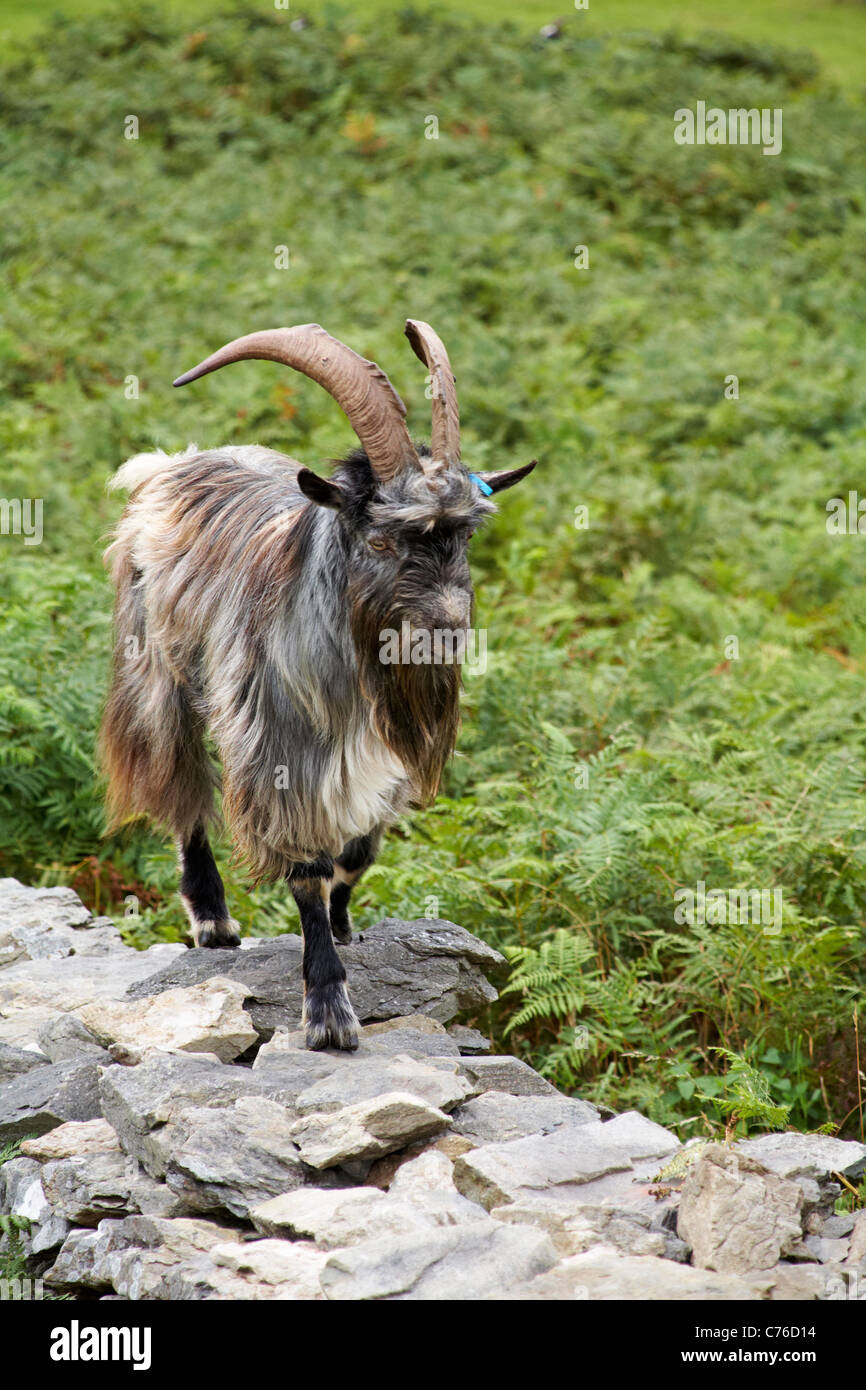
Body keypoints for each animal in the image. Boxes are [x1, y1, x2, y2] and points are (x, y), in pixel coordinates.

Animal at [100, 321, 535, 1049]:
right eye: (384, 540)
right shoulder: (278, 747)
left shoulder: (384, 757)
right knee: (181, 786)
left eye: (465, 536)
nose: (449, 630)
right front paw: (329, 1010)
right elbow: (306, 869)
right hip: (158, 670)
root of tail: (168, 465)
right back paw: (213, 921)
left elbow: (356, 855)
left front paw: (345, 924)